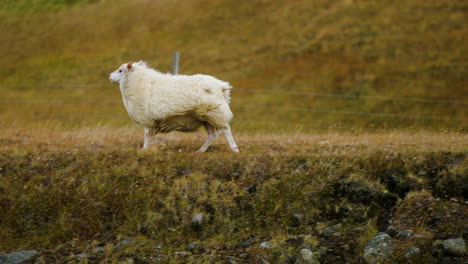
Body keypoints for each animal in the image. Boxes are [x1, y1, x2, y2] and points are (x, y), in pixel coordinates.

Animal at [107, 61, 238, 152]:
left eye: (120, 70)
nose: (109, 76)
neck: (140, 82)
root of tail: (221, 86)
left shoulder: (147, 118)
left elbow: (146, 135)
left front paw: (145, 149)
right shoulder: (152, 121)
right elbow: (149, 135)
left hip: (216, 113)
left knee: (226, 130)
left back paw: (234, 149)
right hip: (206, 116)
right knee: (212, 134)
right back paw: (200, 151)